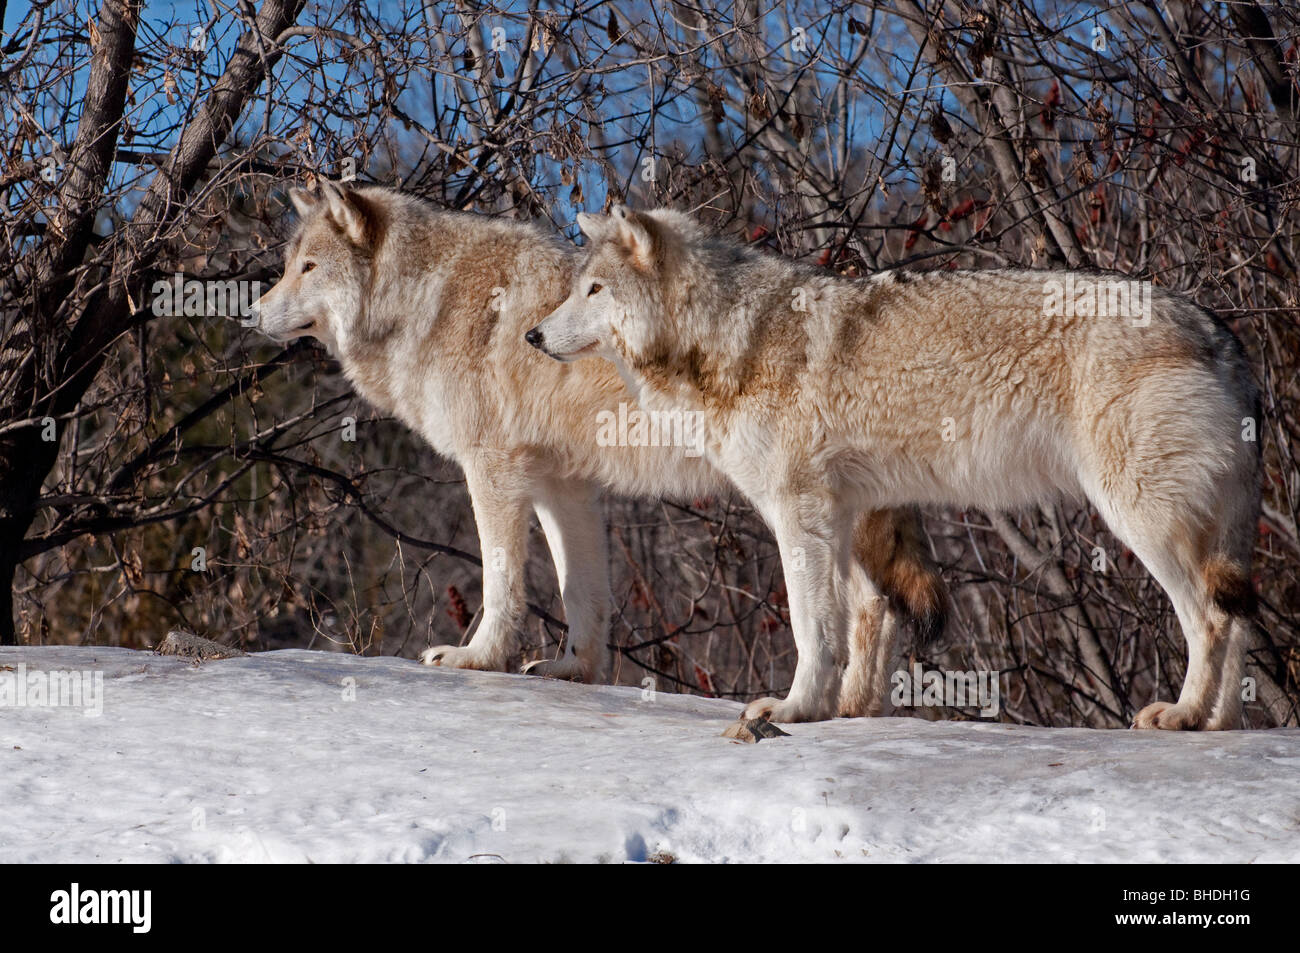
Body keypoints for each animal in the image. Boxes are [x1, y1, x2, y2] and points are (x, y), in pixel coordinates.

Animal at [250, 184, 946, 712]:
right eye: (289, 265)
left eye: (308, 268)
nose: (251, 313)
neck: (430, 299)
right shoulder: (563, 484)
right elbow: (579, 589)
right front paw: (572, 670)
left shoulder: (492, 467)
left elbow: (501, 579)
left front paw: (479, 657)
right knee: (881, 608)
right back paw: (854, 712)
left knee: (871, 607)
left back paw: (836, 709)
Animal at [527, 206, 1258, 728]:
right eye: (575, 289)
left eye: (593, 289)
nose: (533, 336)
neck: (728, 339)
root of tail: (1217, 330)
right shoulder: (845, 513)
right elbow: (866, 613)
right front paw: (846, 712)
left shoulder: (800, 514)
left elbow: (813, 626)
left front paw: (793, 708)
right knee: (1240, 621)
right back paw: (1216, 723)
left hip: (1140, 519)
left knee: (1211, 619)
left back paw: (1181, 714)